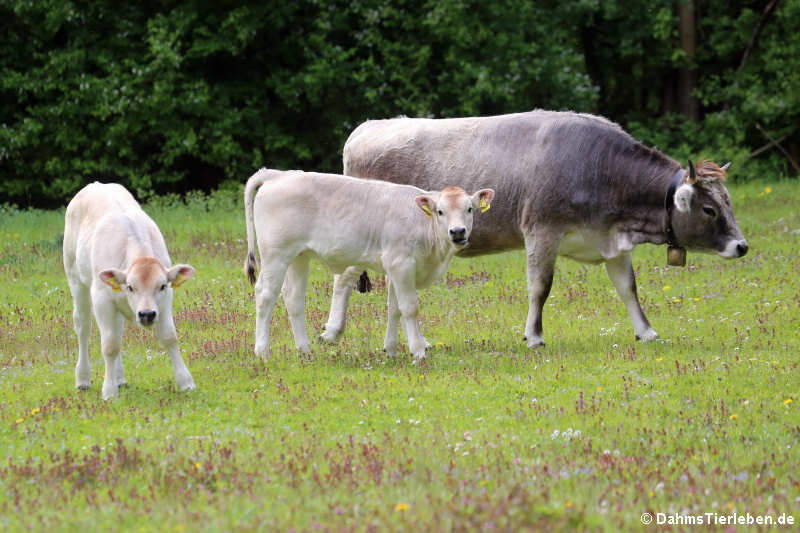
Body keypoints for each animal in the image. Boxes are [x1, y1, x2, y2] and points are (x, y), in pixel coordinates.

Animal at [62, 181, 197, 396]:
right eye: (130, 287)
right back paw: (83, 379)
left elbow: (169, 337)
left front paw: (186, 382)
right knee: (83, 325)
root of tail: (96, 184)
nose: (147, 314)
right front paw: (109, 391)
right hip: (75, 278)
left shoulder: (166, 299)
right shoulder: (101, 298)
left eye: (161, 286)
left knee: (118, 329)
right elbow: (109, 345)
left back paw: (119, 377)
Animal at [244, 168, 494, 364]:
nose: (458, 231)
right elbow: (410, 307)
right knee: (265, 295)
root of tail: (278, 174)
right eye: (440, 211)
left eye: (469, 209)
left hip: (298, 256)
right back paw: (262, 352)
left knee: (294, 298)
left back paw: (305, 351)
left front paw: (391, 350)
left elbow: (394, 309)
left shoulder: (395, 268)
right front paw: (418, 351)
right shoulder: (401, 264)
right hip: (275, 255)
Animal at [322, 110, 748, 348]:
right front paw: (534, 335)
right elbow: (540, 287)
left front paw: (646, 332)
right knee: (342, 279)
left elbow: (628, 288)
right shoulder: (542, 230)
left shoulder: (612, 241)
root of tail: (367, 129)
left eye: (728, 203)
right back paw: (332, 331)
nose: (742, 246)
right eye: (709, 209)